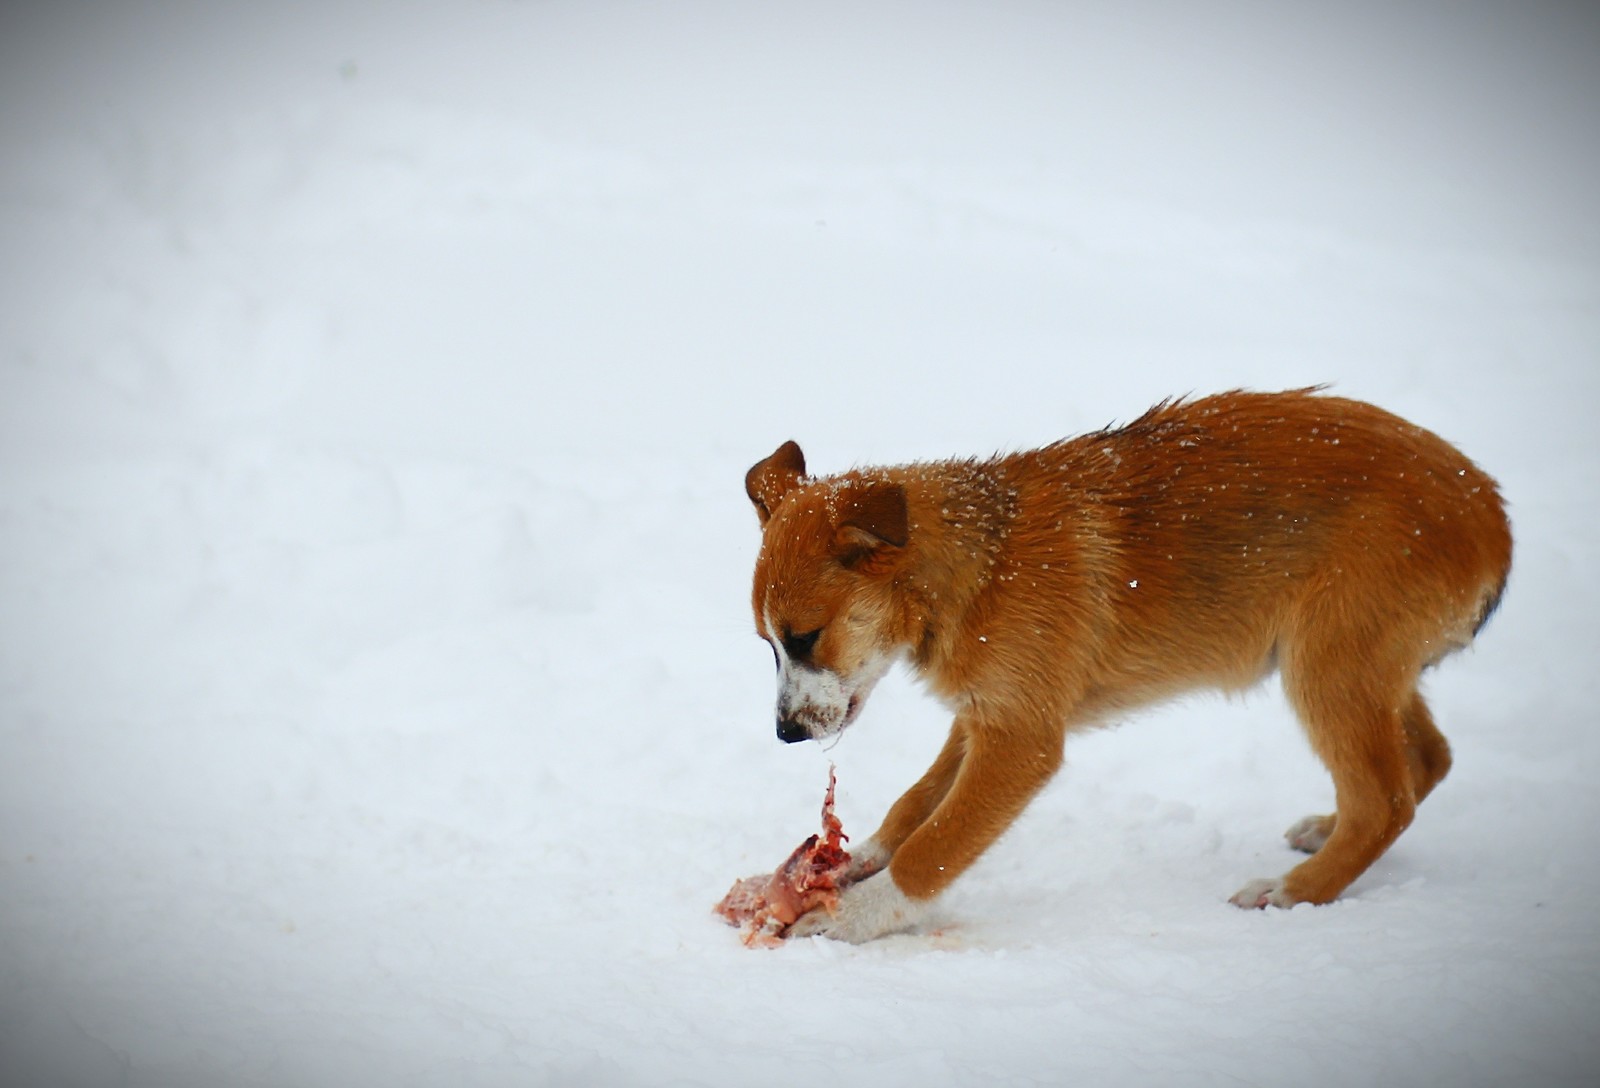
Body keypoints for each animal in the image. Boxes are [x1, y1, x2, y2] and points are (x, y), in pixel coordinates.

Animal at [742, 387, 1504, 940]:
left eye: (805, 637)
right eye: (767, 643)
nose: (784, 735)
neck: (981, 570)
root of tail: (1492, 517)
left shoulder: (1022, 741)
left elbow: (937, 847)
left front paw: (855, 917)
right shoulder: (992, 710)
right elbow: (918, 801)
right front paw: (856, 861)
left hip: (1327, 664)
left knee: (1385, 802)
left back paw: (1295, 892)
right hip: (1369, 668)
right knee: (1425, 762)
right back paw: (1325, 833)